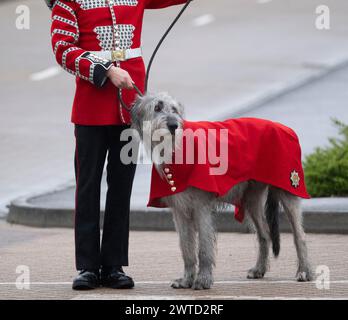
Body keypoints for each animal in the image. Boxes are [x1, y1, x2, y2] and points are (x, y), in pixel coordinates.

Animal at [130, 92, 312, 290]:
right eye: (157, 107)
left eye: (175, 109)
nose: (173, 125)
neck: (176, 149)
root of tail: (285, 128)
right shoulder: (179, 210)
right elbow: (186, 246)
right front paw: (186, 279)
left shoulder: (201, 206)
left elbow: (204, 247)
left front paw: (203, 280)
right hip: (251, 198)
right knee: (264, 233)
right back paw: (259, 269)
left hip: (289, 186)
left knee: (300, 235)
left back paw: (304, 271)